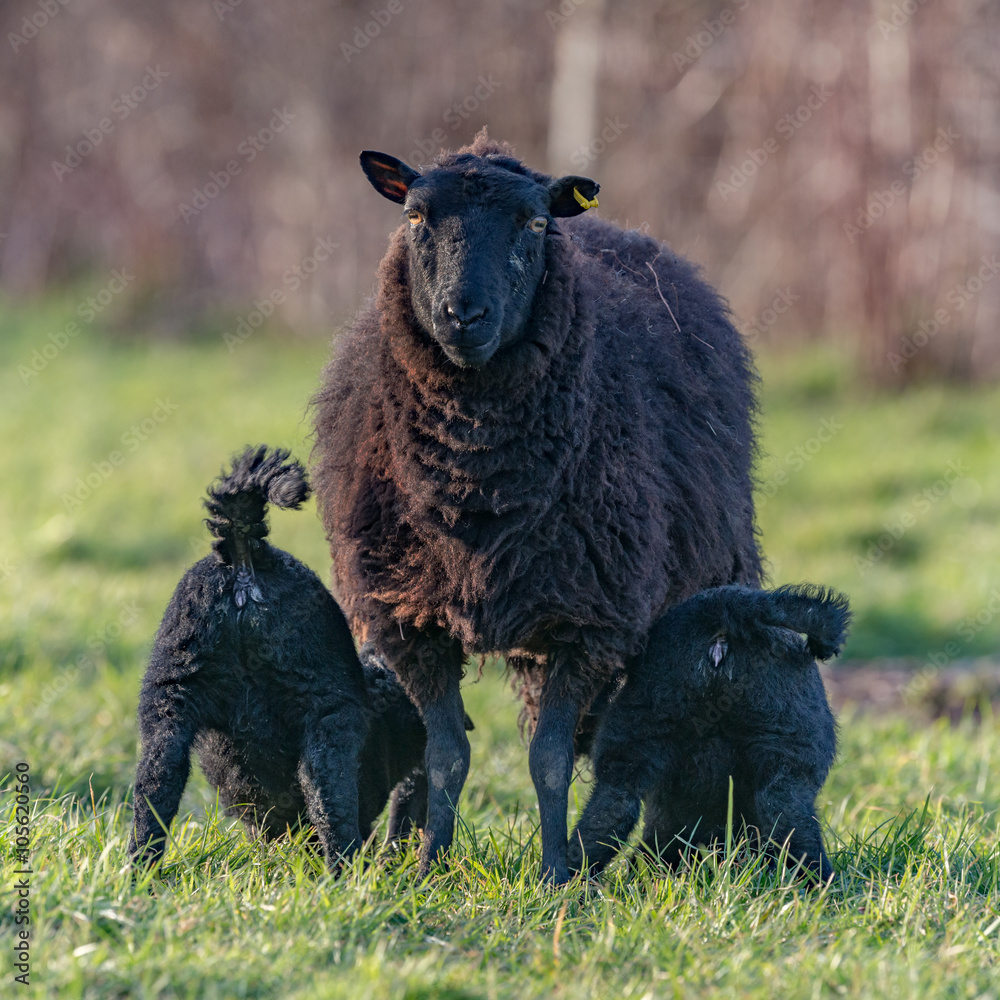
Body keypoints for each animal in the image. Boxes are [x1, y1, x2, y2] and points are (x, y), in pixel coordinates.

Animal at [311, 131, 762, 883]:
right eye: (414, 216)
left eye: (533, 224)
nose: (464, 316)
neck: (476, 481)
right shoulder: (410, 618)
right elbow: (445, 754)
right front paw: (429, 865)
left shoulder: (587, 619)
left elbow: (550, 758)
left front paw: (555, 874)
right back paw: (403, 844)